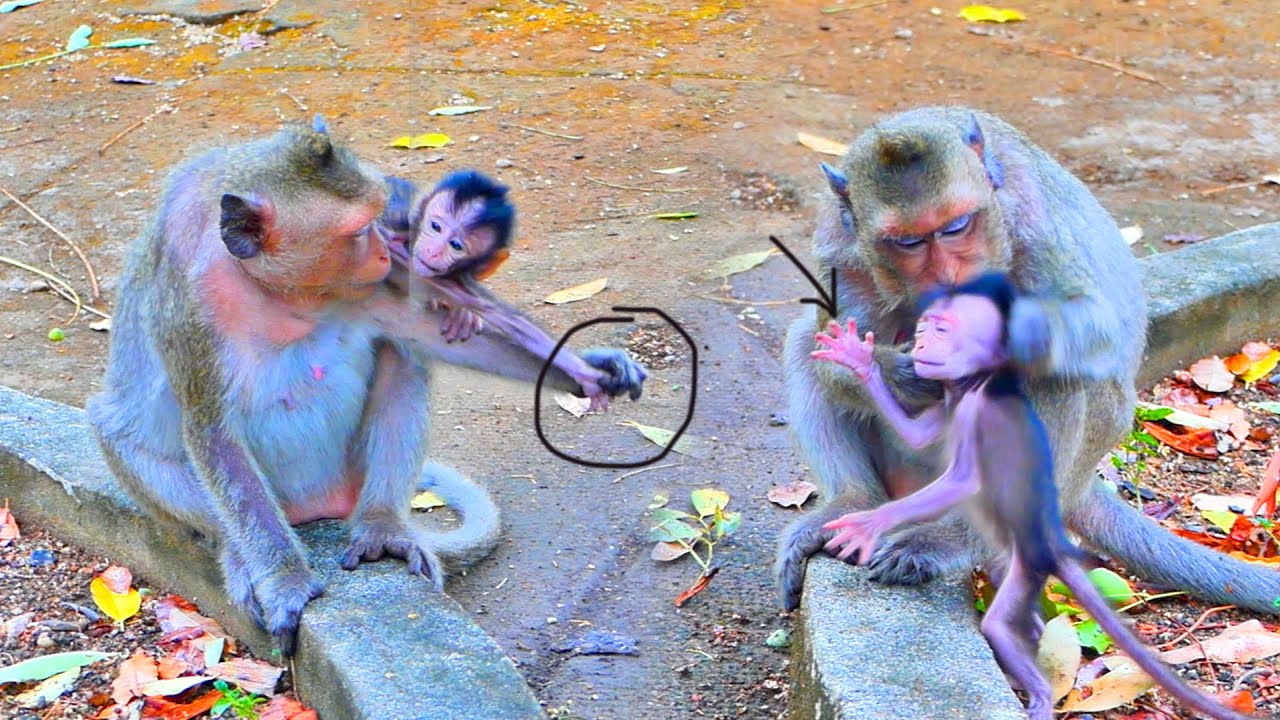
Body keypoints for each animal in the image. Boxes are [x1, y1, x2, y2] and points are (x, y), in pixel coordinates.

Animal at [85, 116, 648, 655]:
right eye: (357, 231)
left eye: (375, 219)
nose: (385, 249)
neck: (270, 288)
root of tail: (314, 508)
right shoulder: (190, 307)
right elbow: (211, 431)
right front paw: (285, 581)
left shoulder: (367, 285)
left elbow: (436, 337)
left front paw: (587, 370)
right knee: (134, 447)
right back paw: (240, 556)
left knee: (404, 357)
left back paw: (383, 525)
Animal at [774, 106, 1280, 615]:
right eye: (908, 243)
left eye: (956, 227)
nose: (949, 277)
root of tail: (1081, 485)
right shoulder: (840, 247)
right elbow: (829, 347)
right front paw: (894, 371)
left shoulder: (1033, 224)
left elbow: (1092, 328)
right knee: (802, 342)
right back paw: (853, 502)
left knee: (1054, 379)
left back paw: (955, 542)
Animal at [810, 272, 1256, 720]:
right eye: (923, 330)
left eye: (941, 330)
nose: (919, 345)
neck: (976, 381)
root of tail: (1050, 544)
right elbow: (918, 435)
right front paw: (861, 362)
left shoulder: (975, 406)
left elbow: (963, 479)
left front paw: (872, 523)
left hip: (1028, 564)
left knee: (998, 622)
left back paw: (1039, 693)